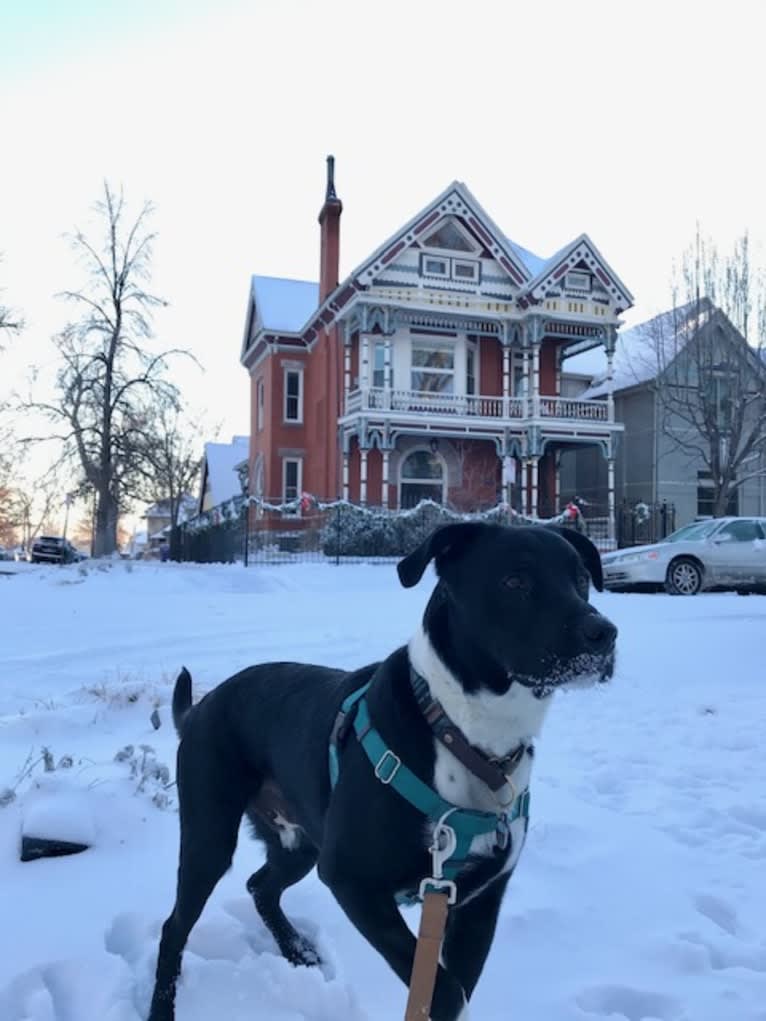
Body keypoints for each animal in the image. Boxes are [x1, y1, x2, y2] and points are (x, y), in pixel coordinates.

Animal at [148, 526, 616, 1021]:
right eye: (514, 581)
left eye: (581, 578)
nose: (604, 633)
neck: (463, 735)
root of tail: (201, 707)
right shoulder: (351, 878)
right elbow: (444, 991)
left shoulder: (479, 905)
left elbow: (456, 987)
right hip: (210, 838)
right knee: (175, 926)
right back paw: (162, 1007)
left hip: (301, 842)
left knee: (261, 886)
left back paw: (297, 949)